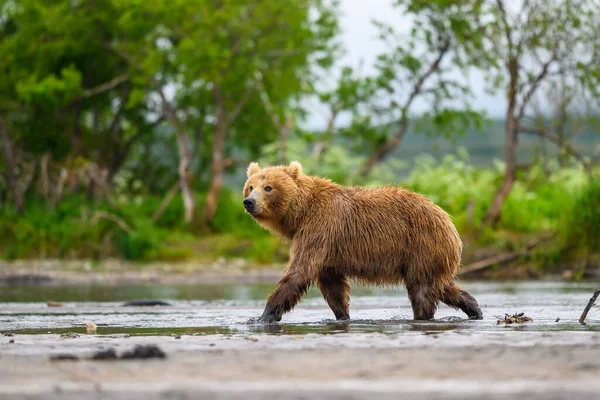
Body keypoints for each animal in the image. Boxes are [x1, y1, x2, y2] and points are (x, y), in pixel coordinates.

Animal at [241, 161, 480, 324]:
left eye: (268, 187)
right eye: (251, 186)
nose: (249, 202)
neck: (300, 214)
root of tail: (448, 220)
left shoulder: (320, 227)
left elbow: (300, 271)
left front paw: (264, 316)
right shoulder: (328, 247)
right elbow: (332, 284)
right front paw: (343, 315)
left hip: (422, 244)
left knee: (423, 288)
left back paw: (424, 316)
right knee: (441, 285)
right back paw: (474, 308)